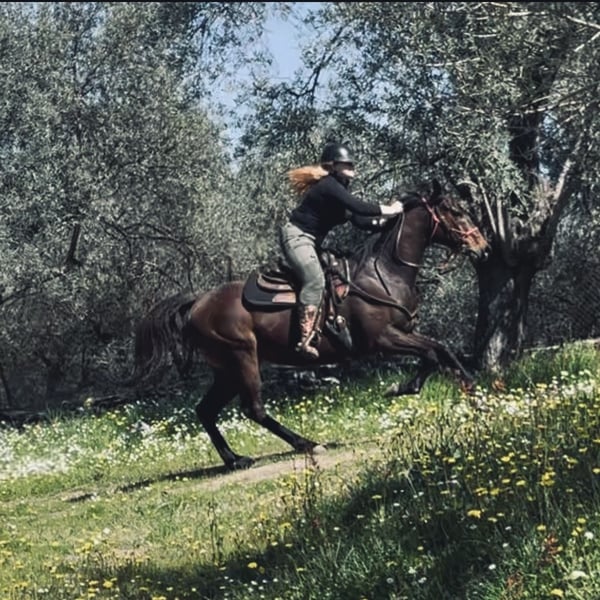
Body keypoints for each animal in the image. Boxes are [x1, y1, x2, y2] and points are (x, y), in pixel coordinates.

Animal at [130, 184, 490, 470]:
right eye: (456, 211)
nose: (483, 248)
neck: (385, 272)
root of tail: (198, 302)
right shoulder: (382, 339)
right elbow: (430, 353)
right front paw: (400, 388)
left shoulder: (406, 332)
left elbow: (440, 350)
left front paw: (477, 394)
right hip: (242, 358)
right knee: (253, 408)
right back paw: (307, 444)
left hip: (226, 369)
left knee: (205, 410)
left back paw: (235, 460)